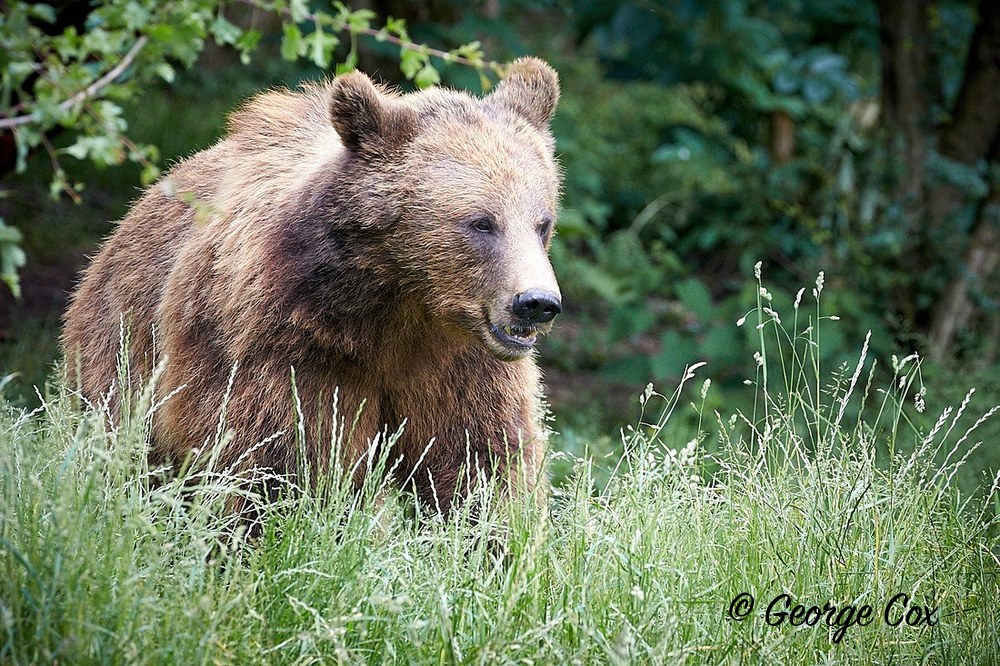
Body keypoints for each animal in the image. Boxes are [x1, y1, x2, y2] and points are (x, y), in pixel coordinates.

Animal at [61, 57, 563, 514]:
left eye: (542, 222)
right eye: (481, 222)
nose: (536, 302)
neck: (399, 303)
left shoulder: (461, 365)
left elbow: (483, 461)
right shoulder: (293, 347)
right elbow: (278, 460)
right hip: (125, 336)